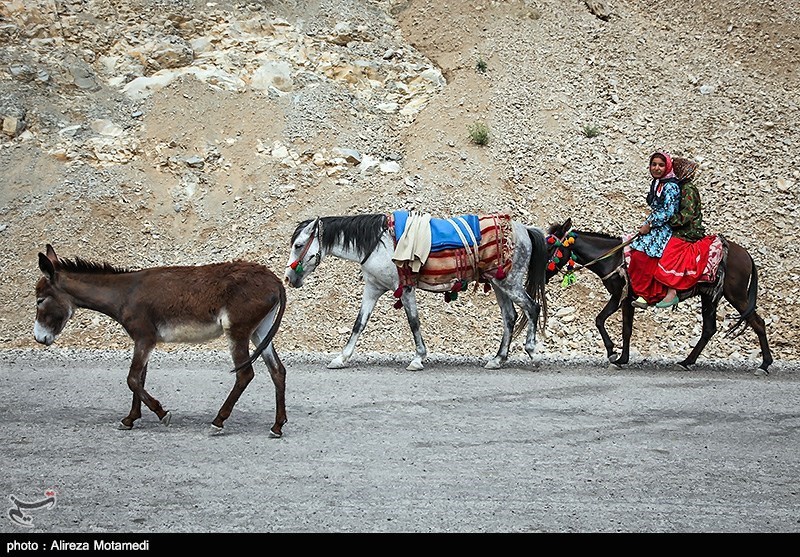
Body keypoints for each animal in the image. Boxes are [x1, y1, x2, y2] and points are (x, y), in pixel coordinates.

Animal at [282, 213, 552, 370]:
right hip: (498, 283)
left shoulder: (405, 288)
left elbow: (413, 322)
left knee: (532, 307)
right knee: (510, 317)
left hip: (510, 283)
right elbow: (359, 324)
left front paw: (418, 358)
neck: (379, 244)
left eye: (298, 245)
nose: (288, 278)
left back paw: (532, 352)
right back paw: (497, 359)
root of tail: (523, 229)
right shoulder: (373, 288)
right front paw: (341, 358)